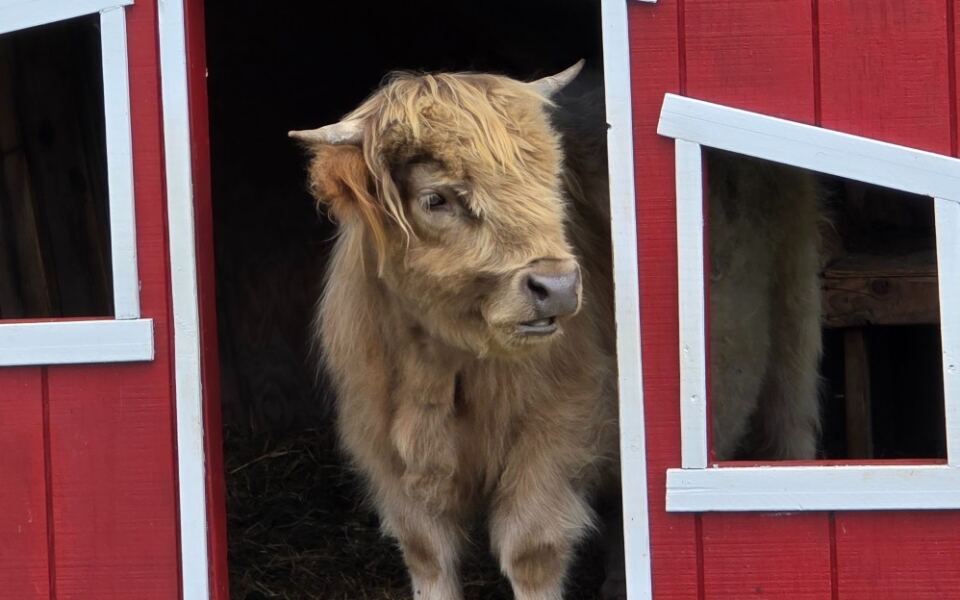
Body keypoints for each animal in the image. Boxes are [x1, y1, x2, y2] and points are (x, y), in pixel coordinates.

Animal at [290, 61, 821, 600]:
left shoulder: (558, 429)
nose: (558, 286)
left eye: (549, 180)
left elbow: (530, 550)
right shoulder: (386, 453)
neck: (441, 366)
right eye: (436, 199)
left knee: (792, 413)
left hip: (796, 296)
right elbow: (428, 555)